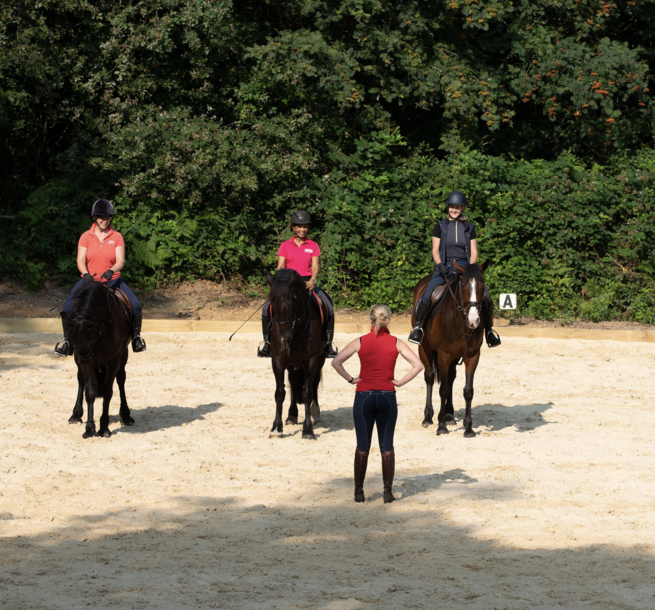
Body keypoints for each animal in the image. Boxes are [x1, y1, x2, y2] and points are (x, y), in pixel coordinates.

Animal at [64, 280, 136, 436]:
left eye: (91, 338)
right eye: (72, 340)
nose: (85, 359)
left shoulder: (113, 362)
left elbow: (108, 393)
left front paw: (104, 428)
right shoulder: (86, 361)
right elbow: (89, 393)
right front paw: (90, 428)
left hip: (123, 356)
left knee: (121, 380)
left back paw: (126, 415)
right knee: (81, 381)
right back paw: (75, 415)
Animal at [266, 270, 328, 436]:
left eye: (290, 302)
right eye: (272, 303)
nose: (283, 337)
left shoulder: (312, 360)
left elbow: (307, 393)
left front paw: (307, 430)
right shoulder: (278, 359)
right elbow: (279, 393)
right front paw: (276, 428)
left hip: (319, 360)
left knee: (314, 384)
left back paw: (315, 414)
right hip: (292, 364)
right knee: (294, 383)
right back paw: (292, 415)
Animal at [412, 262, 490, 436]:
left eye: (482, 286)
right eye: (463, 285)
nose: (474, 320)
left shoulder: (472, 356)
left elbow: (468, 391)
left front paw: (468, 428)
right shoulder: (443, 355)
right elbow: (443, 389)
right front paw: (441, 426)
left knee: (451, 377)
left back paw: (449, 415)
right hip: (425, 349)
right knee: (429, 377)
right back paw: (428, 417)